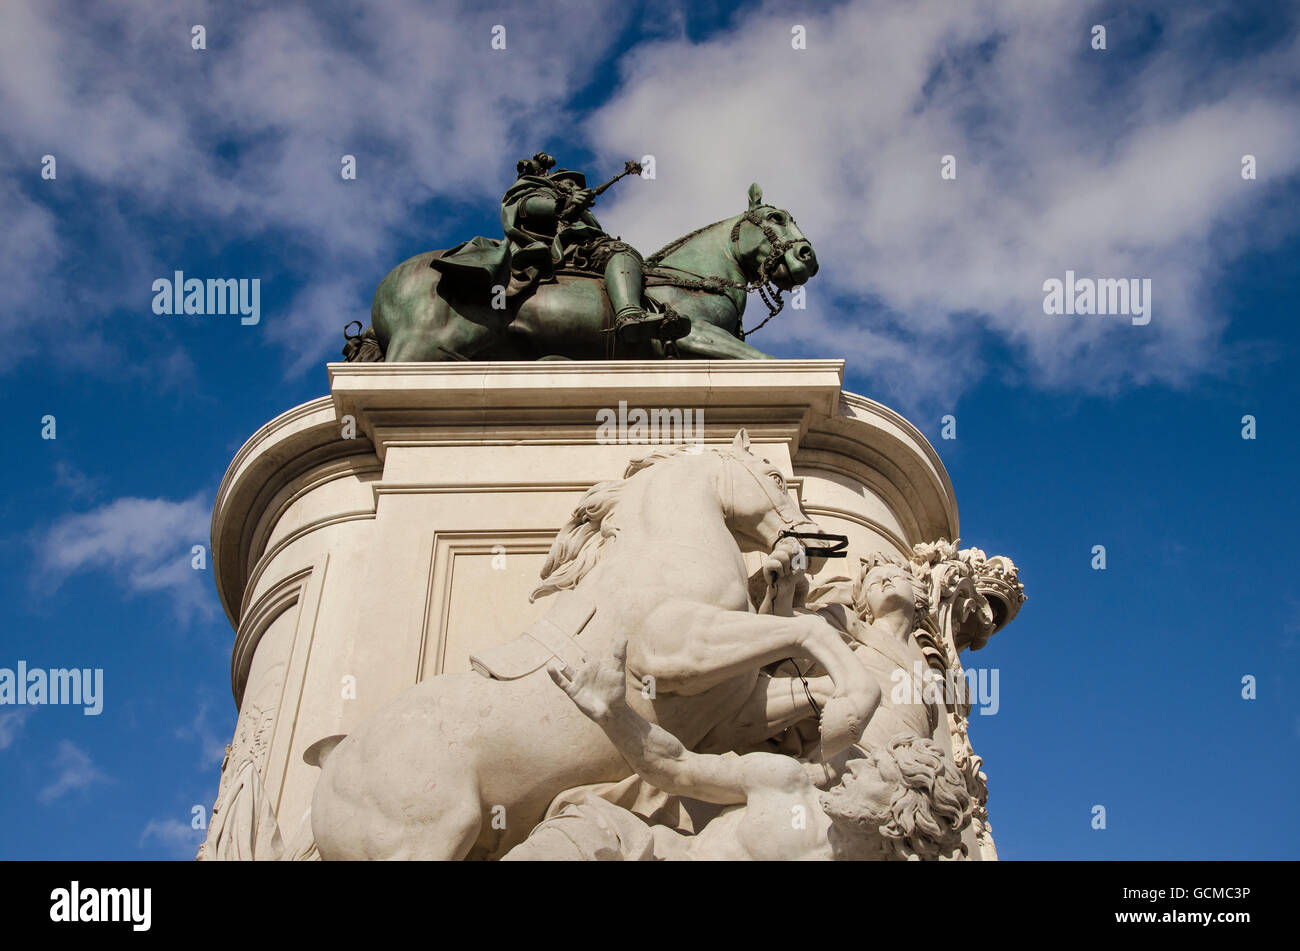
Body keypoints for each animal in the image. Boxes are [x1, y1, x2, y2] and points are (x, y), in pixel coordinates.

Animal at [306, 433, 873, 862]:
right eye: (775, 478)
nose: (820, 545)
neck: (665, 554)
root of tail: (330, 768)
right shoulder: (676, 650)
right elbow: (812, 633)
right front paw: (848, 719)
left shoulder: (732, 714)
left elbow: (809, 685)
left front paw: (834, 736)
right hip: (422, 840)